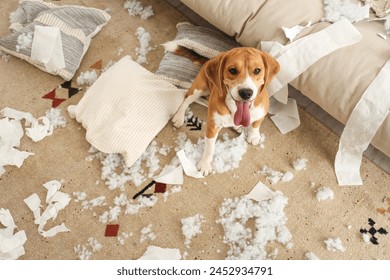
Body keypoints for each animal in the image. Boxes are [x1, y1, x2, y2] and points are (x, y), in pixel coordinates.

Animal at [172, 47, 278, 176]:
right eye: (232, 70)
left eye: (257, 70)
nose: (246, 93)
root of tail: (209, 59)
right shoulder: (213, 127)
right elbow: (209, 148)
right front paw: (205, 165)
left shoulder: (262, 111)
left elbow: (256, 124)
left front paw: (253, 135)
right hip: (199, 88)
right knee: (187, 99)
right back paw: (179, 116)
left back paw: (238, 126)